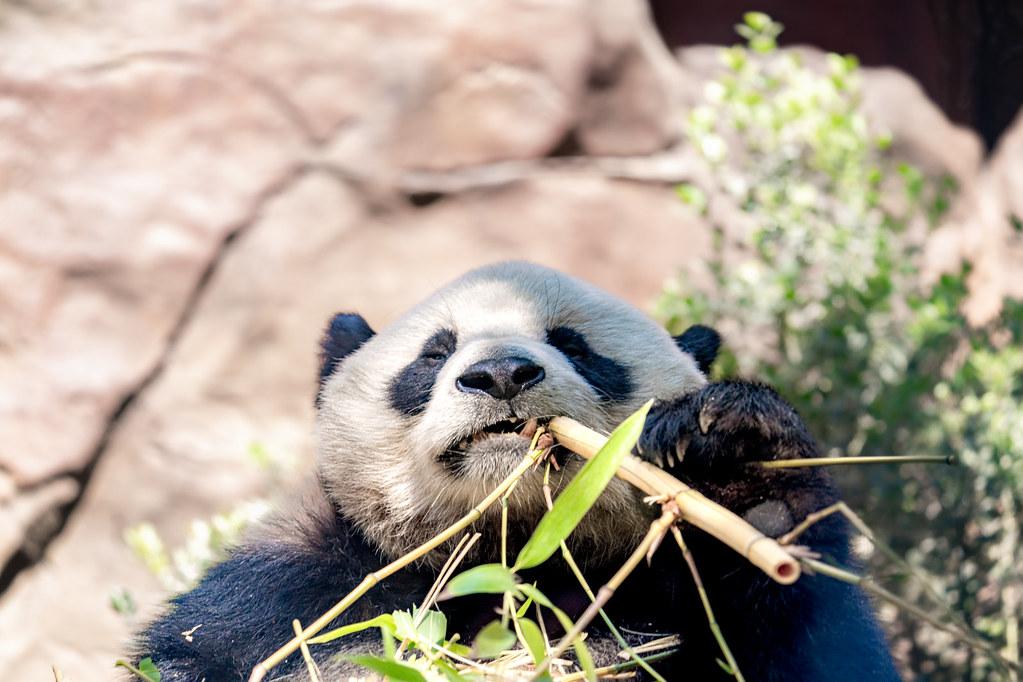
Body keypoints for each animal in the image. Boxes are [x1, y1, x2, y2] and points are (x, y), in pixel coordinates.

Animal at [135, 261, 899, 681]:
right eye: (433, 353)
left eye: (576, 346)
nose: (500, 373)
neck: (513, 554)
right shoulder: (296, 591)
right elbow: (202, 650)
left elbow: (822, 650)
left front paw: (739, 456)